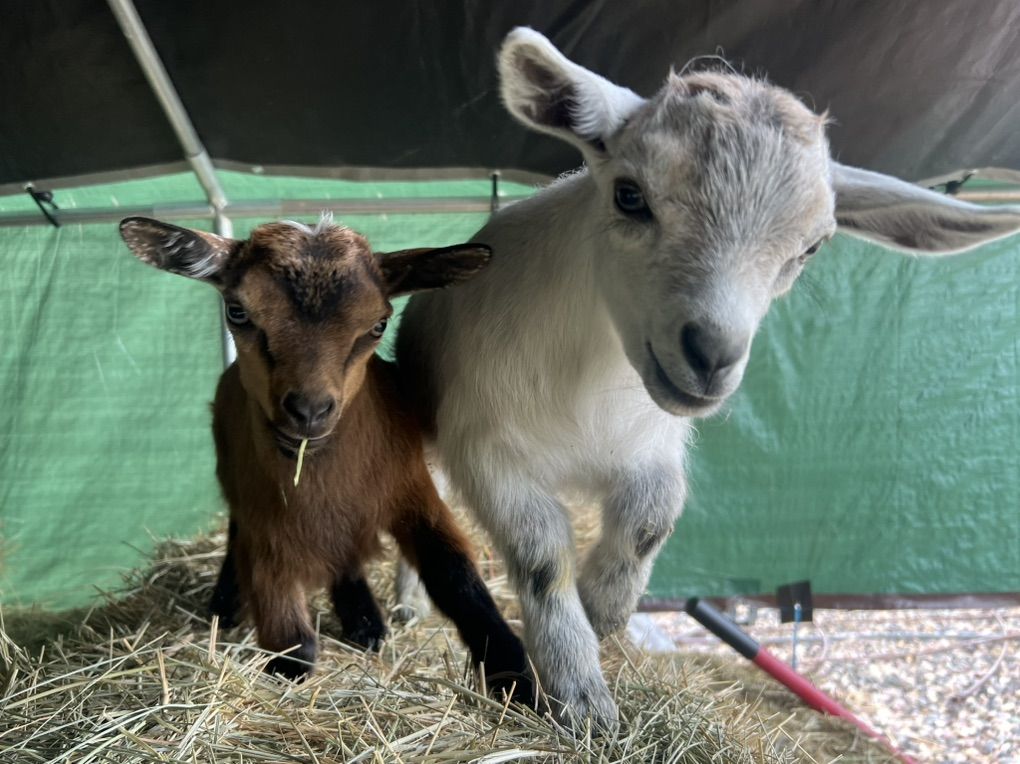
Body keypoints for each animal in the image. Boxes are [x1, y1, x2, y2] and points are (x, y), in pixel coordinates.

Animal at [119, 215, 532, 700]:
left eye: (379, 324)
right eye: (237, 312)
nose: (309, 411)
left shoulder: (412, 491)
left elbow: (455, 575)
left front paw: (517, 676)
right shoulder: (267, 527)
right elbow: (292, 644)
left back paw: (365, 621)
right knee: (239, 535)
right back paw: (227, 603)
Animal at [395, 28, 1020, 727]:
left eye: (812, 248)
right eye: (629, 194)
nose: (711, 356)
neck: (589, 385)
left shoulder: (651, 445)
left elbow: (653, 518)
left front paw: (603, 608)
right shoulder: (488, 447)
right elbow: (539, 557)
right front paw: (580, 695)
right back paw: (407, 604)